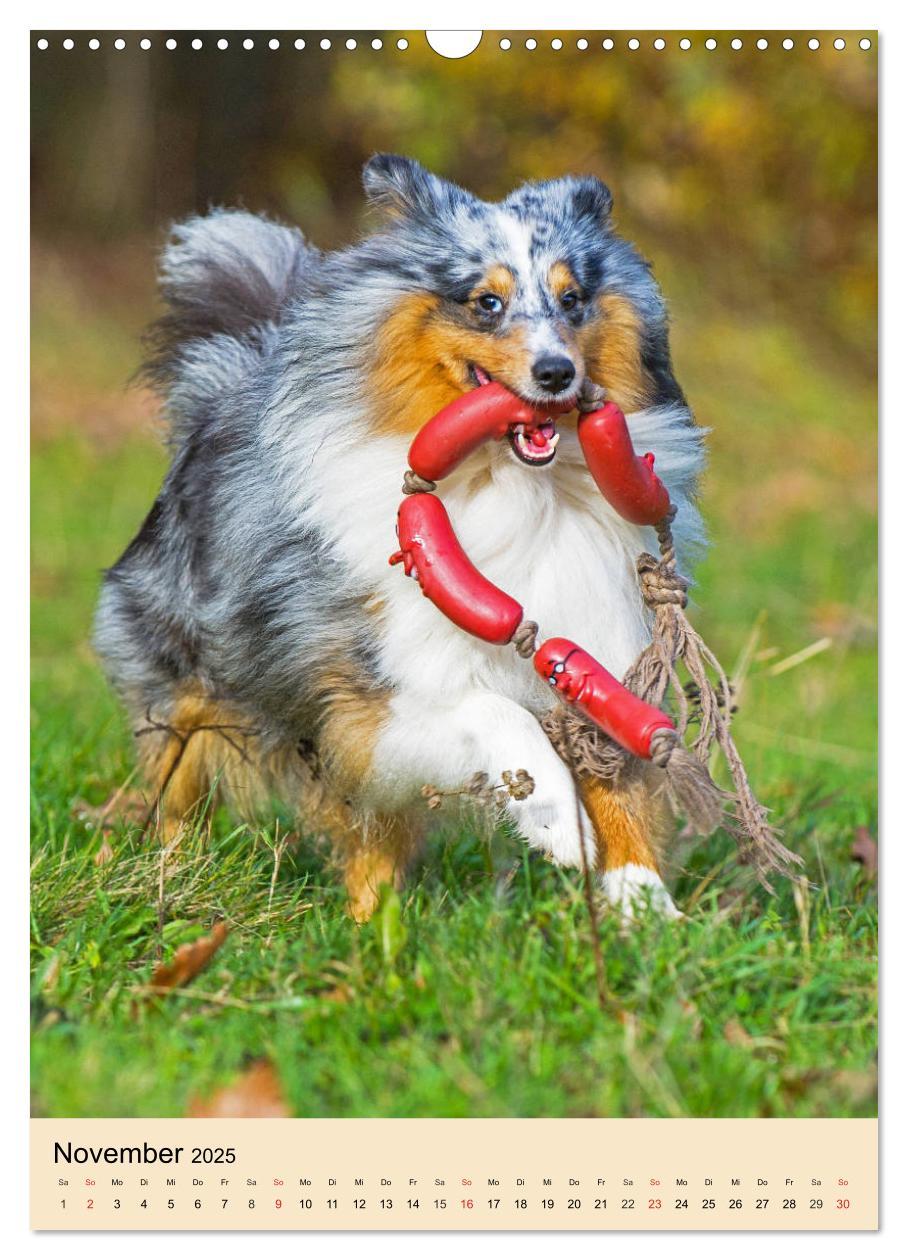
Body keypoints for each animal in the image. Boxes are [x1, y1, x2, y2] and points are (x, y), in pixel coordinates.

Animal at [93, 157, 700, 927]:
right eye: (486, 303)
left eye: (572, 299)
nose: (558, 373)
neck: (514, 489)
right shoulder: (371, 696)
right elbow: (496, 711)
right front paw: (557, 822)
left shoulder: (595, 647)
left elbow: (620, 789)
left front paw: (647, 910)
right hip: (185, 686)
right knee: (180, 794)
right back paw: (173, 885)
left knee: (370, 847)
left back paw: (374, 928)